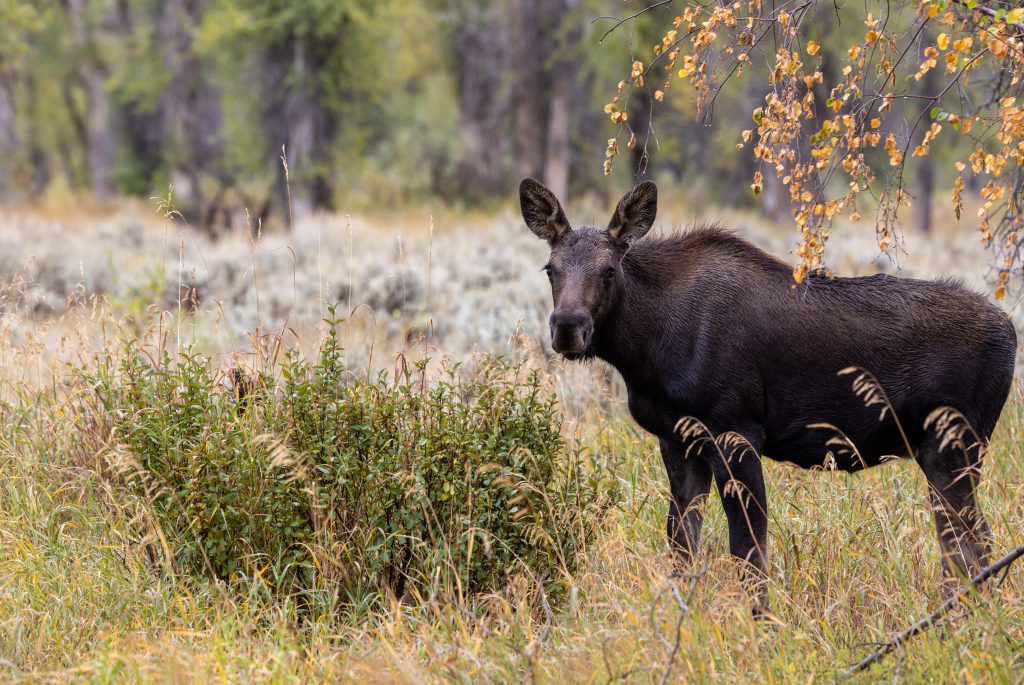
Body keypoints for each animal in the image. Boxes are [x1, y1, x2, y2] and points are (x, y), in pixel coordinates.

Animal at [520, 176, 1015, 614]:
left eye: (608, 270)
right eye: (550, 269)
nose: (567, 327)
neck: (646, 348)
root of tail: (1011, 333)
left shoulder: (735, 432)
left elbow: (748, 549)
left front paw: (763, 626)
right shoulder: (678, 440)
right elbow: (681, 548)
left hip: (953, 444)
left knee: (968, 545)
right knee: (970, 544)